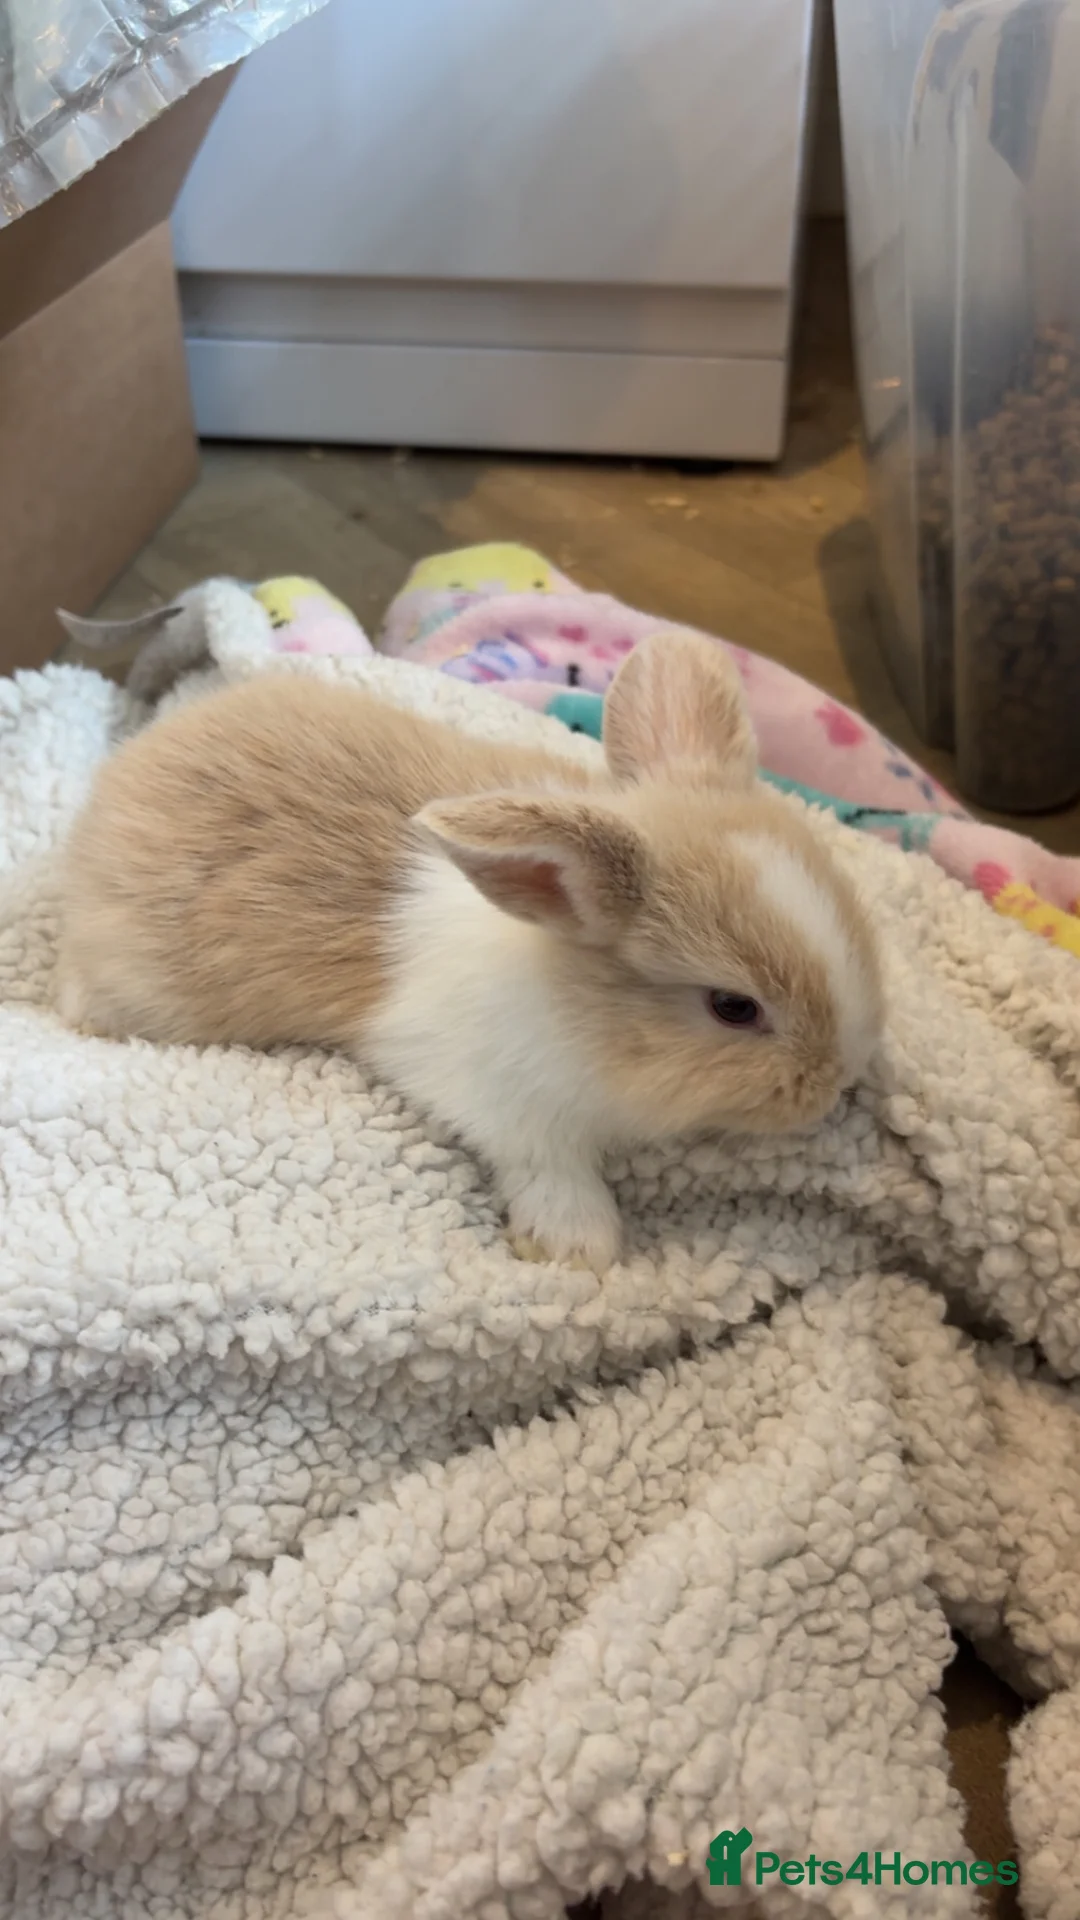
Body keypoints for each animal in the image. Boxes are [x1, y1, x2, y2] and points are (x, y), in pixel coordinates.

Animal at [57, 631, 884, 1271]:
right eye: (733, 1007)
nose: (839, 1084)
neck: (573, 994)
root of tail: (113, 784)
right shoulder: (502, 1102)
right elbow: (549, 1164)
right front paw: (579, 1248)